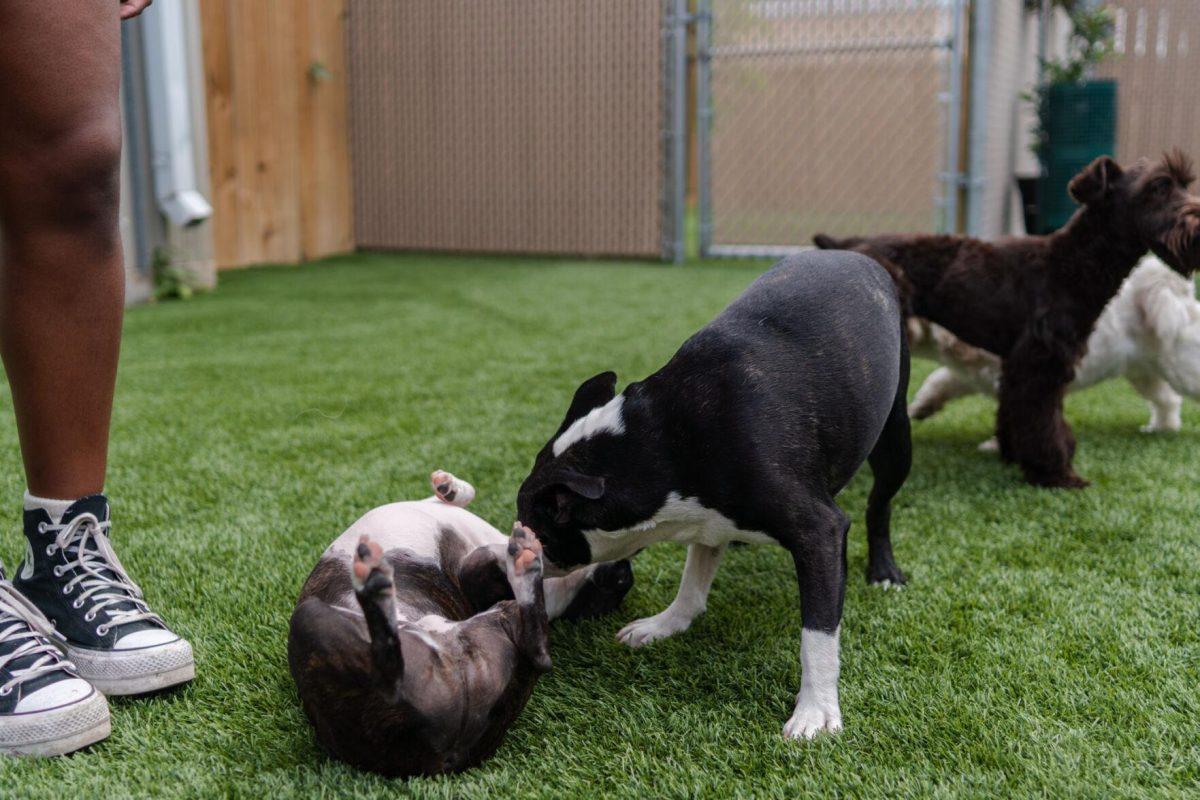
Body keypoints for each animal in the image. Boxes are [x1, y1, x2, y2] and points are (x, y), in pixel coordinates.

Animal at [288, 470, 638, 777]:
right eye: (601, 602)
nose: (625, 573)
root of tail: (445, 758)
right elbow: (462, 500)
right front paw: (450, 487)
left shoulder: (477, 578)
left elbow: (476, 555)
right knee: (535, 651)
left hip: (312, 618)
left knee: (536, 653)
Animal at [516, 251, 907, 738]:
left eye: (539, 532)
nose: (512, 547)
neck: (657, 443)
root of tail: (860, 256)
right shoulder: (708, 517)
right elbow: (694, 577)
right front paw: (667, 623)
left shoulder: (819, 531)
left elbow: (816, 632)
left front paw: (815, 708)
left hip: (895, 434)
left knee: (880, 504)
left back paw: (884, 570)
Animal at [907, 256, 1200, 441]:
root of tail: (1175, 289)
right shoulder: (971, 374)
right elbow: (939, 379)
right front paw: (921, 407)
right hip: (1143, 373)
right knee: (1168, 399)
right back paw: (1162, 428)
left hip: (1183, 368)